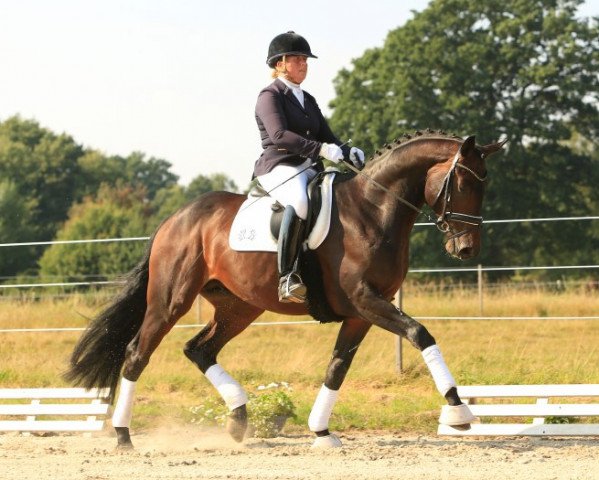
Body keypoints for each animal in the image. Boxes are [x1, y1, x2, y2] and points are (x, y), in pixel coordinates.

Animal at [65, 130, 506, 446]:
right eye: (462, 183)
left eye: (485, 185)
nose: (466, 249)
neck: (372, 211)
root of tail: (176, 219)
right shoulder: (366, 300)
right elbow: (420, 333)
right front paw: (458, 411)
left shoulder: (361, 312)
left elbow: (337, 368)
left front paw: (321, 432)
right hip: (170, 300)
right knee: (137, 354)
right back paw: (123, 435)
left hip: (239, 307)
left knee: (199, 349)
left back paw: (238, 420)